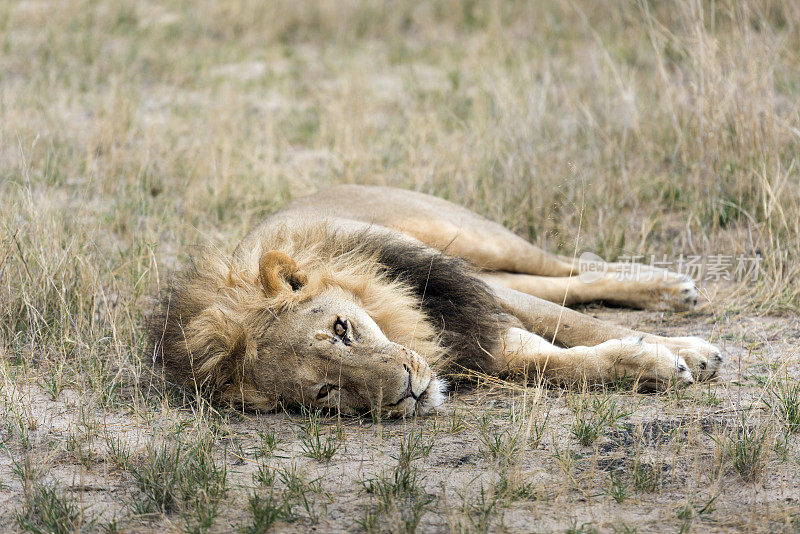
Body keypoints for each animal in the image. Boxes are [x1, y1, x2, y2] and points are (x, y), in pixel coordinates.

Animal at [147, 185, 720, 418]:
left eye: (341, 328)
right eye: (326, 392)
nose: (407, 391)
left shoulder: (464, 299)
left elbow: (579, 327)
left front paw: (691, 353)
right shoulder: (479, 340)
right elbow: (566, 363)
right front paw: (651, 364)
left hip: (474, 241)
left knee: (568, 268)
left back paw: (671, 286)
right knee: (569, 280)